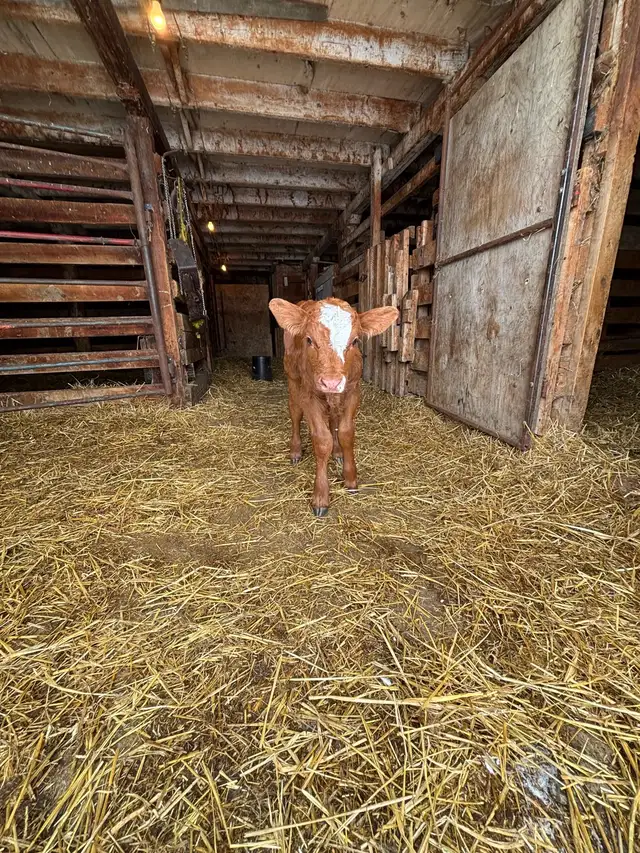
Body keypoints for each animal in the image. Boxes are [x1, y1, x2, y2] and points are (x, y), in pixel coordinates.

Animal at [269, 297, 398, 516]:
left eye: (355, 341)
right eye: (309, 340)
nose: (331, 382)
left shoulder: (353, 391)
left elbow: (346, 433)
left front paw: (350, 478)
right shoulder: (309, 394)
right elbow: (322, 440)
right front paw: (321, 496)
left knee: (333, 419)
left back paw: (337, 452)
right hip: (292, 377)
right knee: (295, 412)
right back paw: (295, 451)